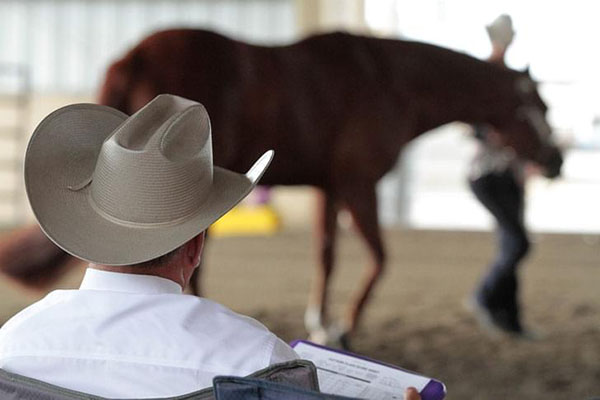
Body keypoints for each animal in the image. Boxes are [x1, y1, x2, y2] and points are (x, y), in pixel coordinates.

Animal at [0, 29, 564, 342]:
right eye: (536, 106)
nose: (555, 161)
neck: (387, 79)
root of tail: (136, 52)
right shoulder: (358, 184)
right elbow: (379, 258)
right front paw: (345, 327)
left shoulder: (329, 188)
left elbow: (327, 256)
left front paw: (320, 323)